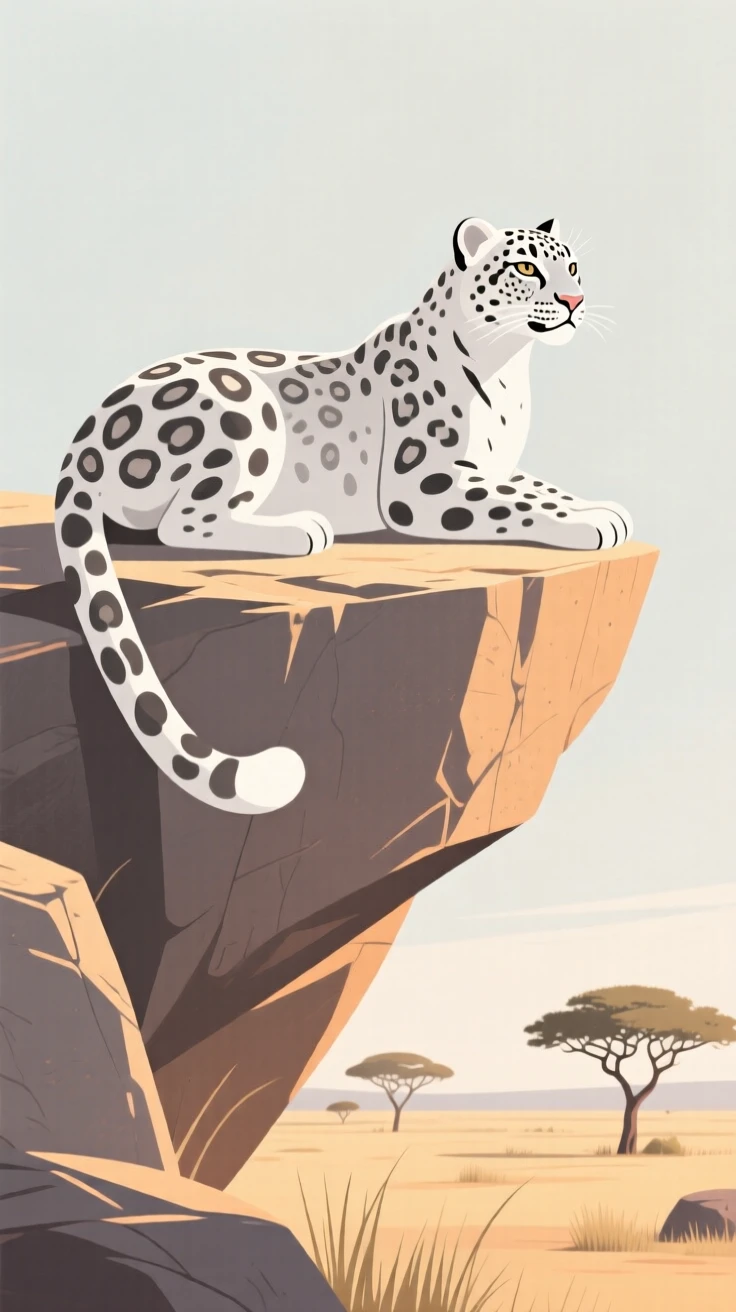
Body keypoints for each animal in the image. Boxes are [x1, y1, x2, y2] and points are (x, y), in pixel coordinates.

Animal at [55, 215, 633, 817]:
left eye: (572, 266)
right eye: (525, 267)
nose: (574, 299)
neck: (509, 371)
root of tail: (83, 440)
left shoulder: (493, 467)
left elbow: (538, 486)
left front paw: (603, 508)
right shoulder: (424, 483)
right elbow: (515, 504)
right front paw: (589, 524)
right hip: (241, 412)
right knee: (184, 523)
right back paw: (303, 529)